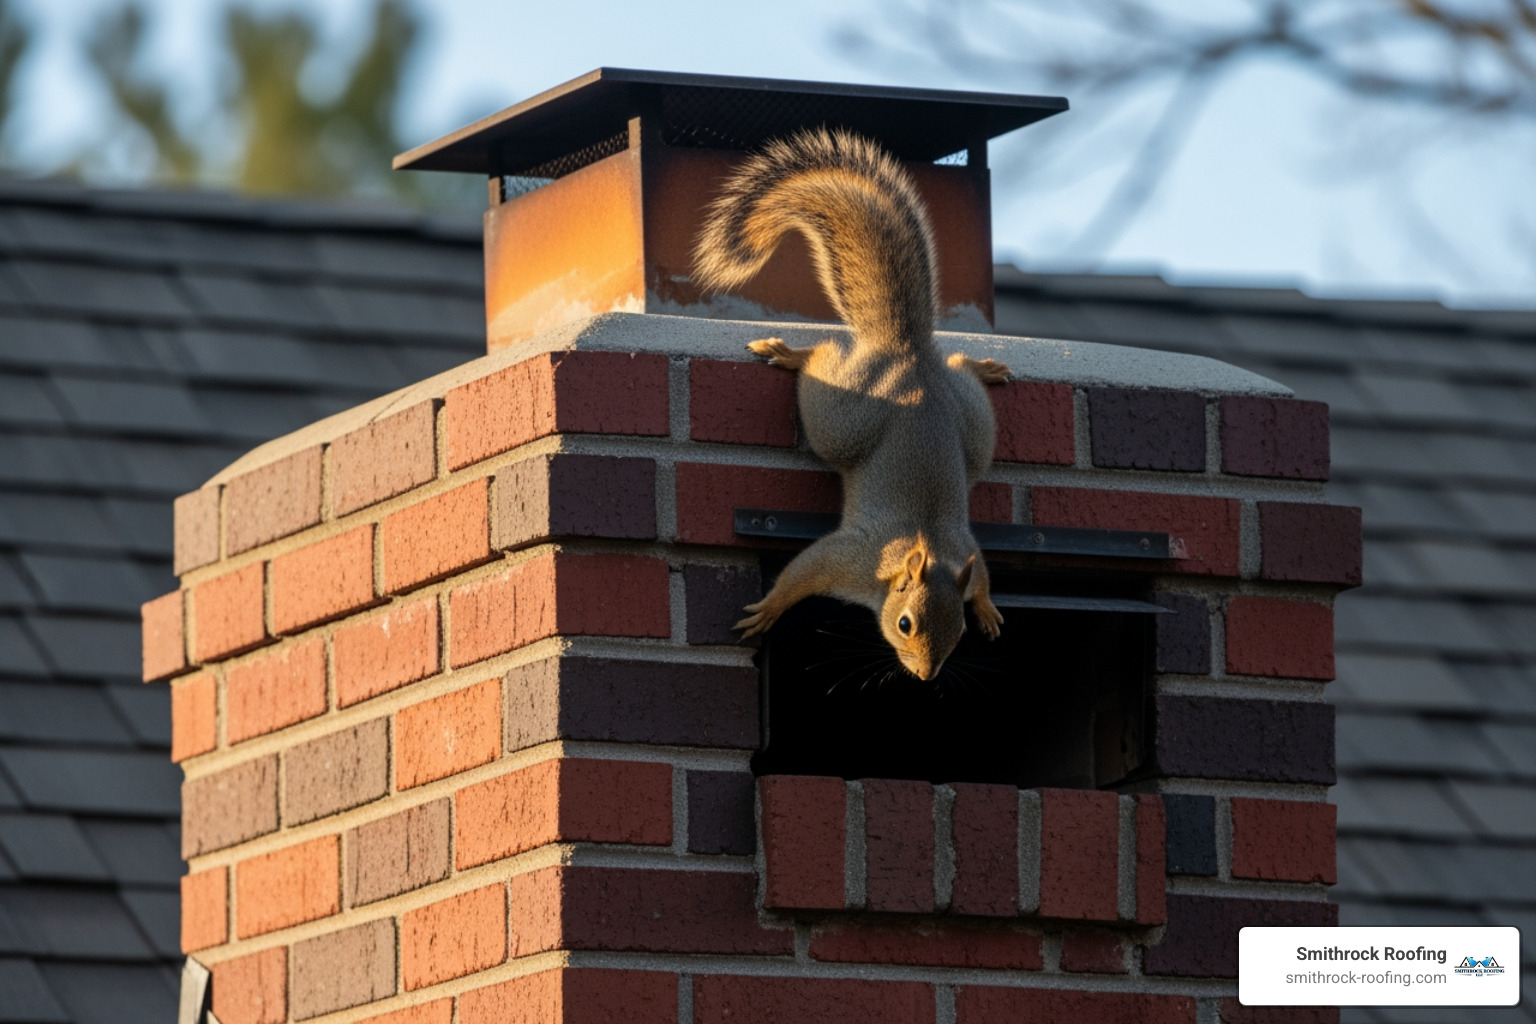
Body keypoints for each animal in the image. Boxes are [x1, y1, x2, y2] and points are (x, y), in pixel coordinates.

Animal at [692, 128, 1010, 682]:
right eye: (905, 624)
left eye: (960, 632)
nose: (926, 676)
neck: (927, 550)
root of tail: (906, 354)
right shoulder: (854, 558)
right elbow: (804, 570)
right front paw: (769, 609)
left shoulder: (965, 553)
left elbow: (982, 573)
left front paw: (987, 606)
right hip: (840, 418)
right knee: (822, 360)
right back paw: (792, 354)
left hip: (974, 425)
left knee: (960, 369)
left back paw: (983, 366)